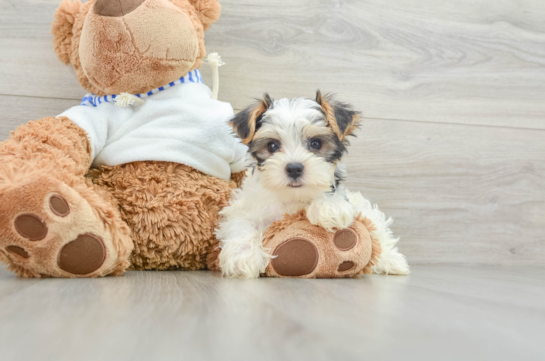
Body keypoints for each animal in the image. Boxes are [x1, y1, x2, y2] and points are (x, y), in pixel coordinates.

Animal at [217, 91, 408, 278]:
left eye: (316, 143)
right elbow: (242, 223)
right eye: (272, 146)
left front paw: (329, 208)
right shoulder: (245, 207)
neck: (293, 197)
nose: (294, 168)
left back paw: (391, 261)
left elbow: (333, 194)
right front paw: (243, 257)